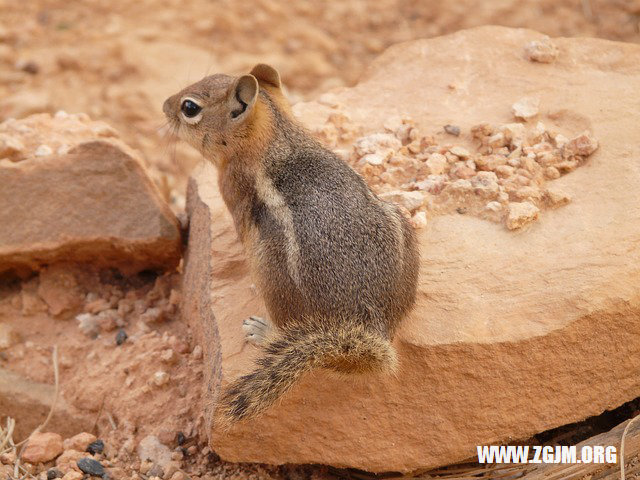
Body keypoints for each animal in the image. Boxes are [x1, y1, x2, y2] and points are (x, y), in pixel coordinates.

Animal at [164, 64, 420, 428]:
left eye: (189, 108)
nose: (163, 106)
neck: (278, 135)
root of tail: (369, 326)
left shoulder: (235, 195)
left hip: (272, 273)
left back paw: (261, 330)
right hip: (401, 222)